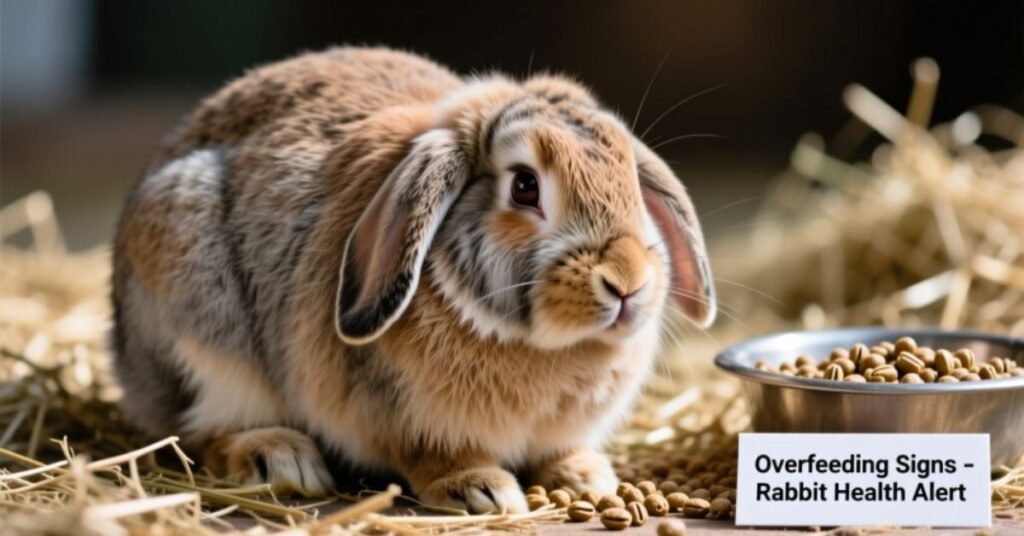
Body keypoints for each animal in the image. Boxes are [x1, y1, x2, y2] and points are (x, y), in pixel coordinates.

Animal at [111, 46, 715, 513]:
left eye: (631, 182)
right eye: (524, 186)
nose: (627, 282)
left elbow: (560, 452)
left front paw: (587, 477)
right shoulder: (408, 421)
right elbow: (433, 456)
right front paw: (483, 491)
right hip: (202, 323)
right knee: (199, 428)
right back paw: (280, 459)